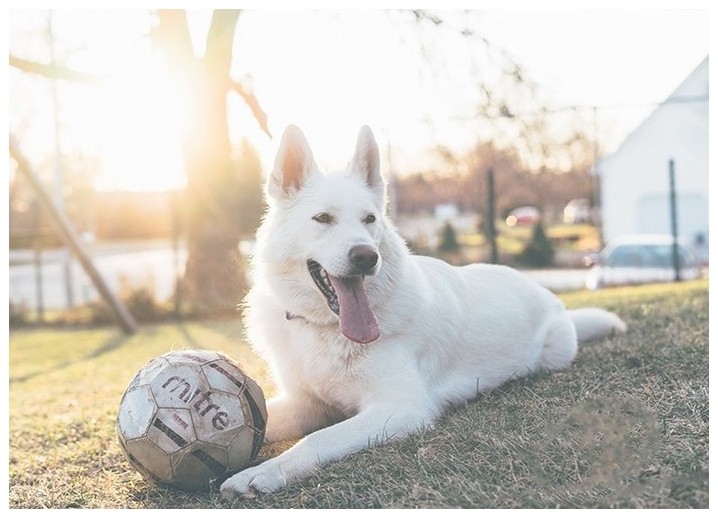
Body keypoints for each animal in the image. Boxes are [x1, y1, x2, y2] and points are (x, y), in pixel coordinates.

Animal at [219, 126, 624, 500]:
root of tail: (546, 295)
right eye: (322, 218)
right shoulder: (307, 405)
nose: (367, 257)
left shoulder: (401, 408)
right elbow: (266, 422)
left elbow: (317, 439)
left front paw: (262, 473)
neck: (325, 328)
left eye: (369, 219)